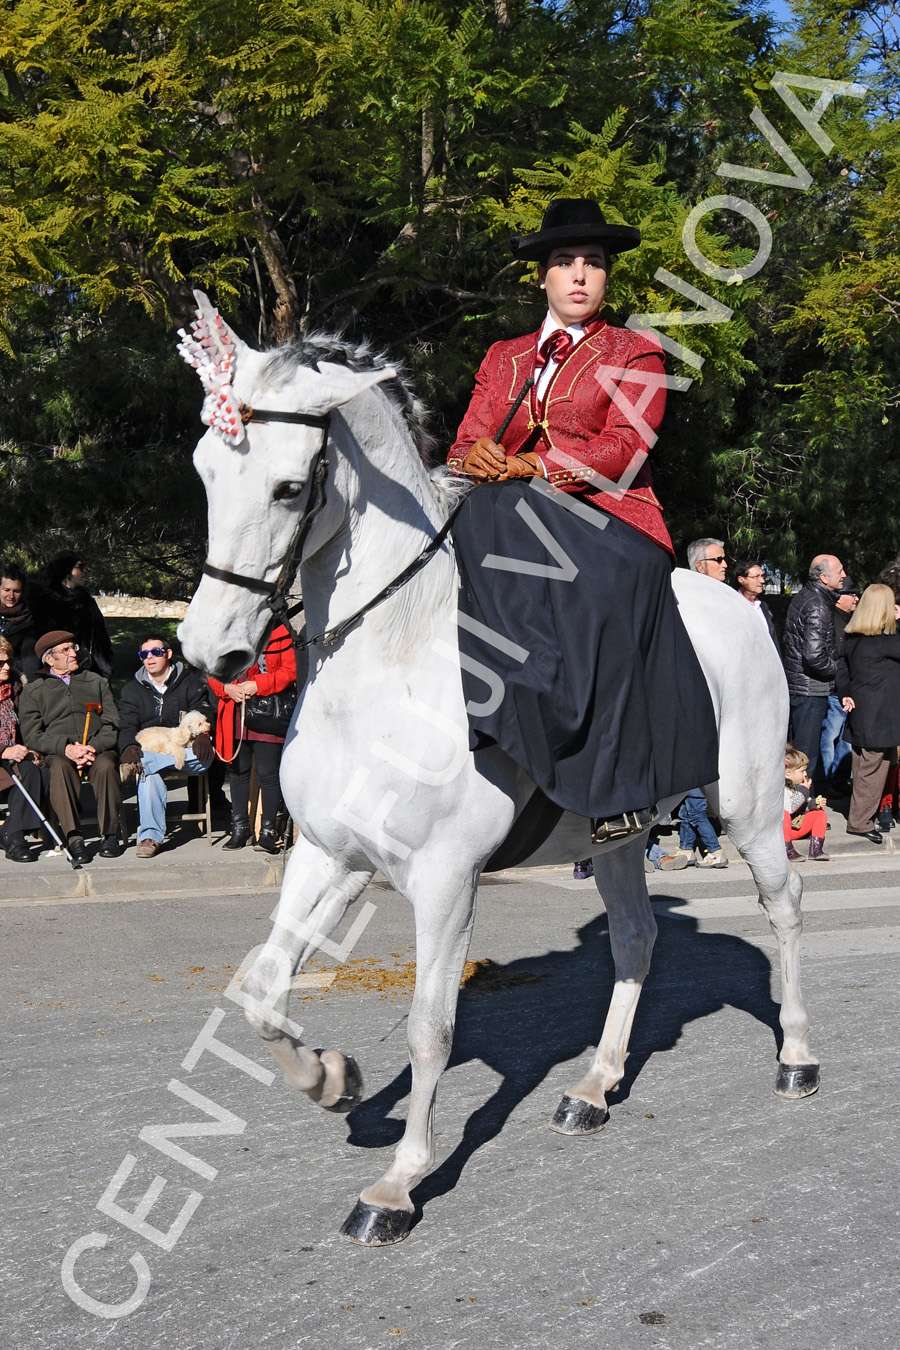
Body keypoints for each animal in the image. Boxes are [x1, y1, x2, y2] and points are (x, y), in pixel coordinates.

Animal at [179, 292, 820, 1242]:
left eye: (291, 486)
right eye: (204, 474)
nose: (207, 651)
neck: (395, 656)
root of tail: (744, 602)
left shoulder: (447, 879)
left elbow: (430, 1026)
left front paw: (398, 1184)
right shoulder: (330, 855)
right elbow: (259, 988)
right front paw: (332, 1080)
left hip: (747, 807)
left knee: (783, 907)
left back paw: (799, 1055)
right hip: (617, 835)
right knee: (636, 937)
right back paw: (594, 1086)